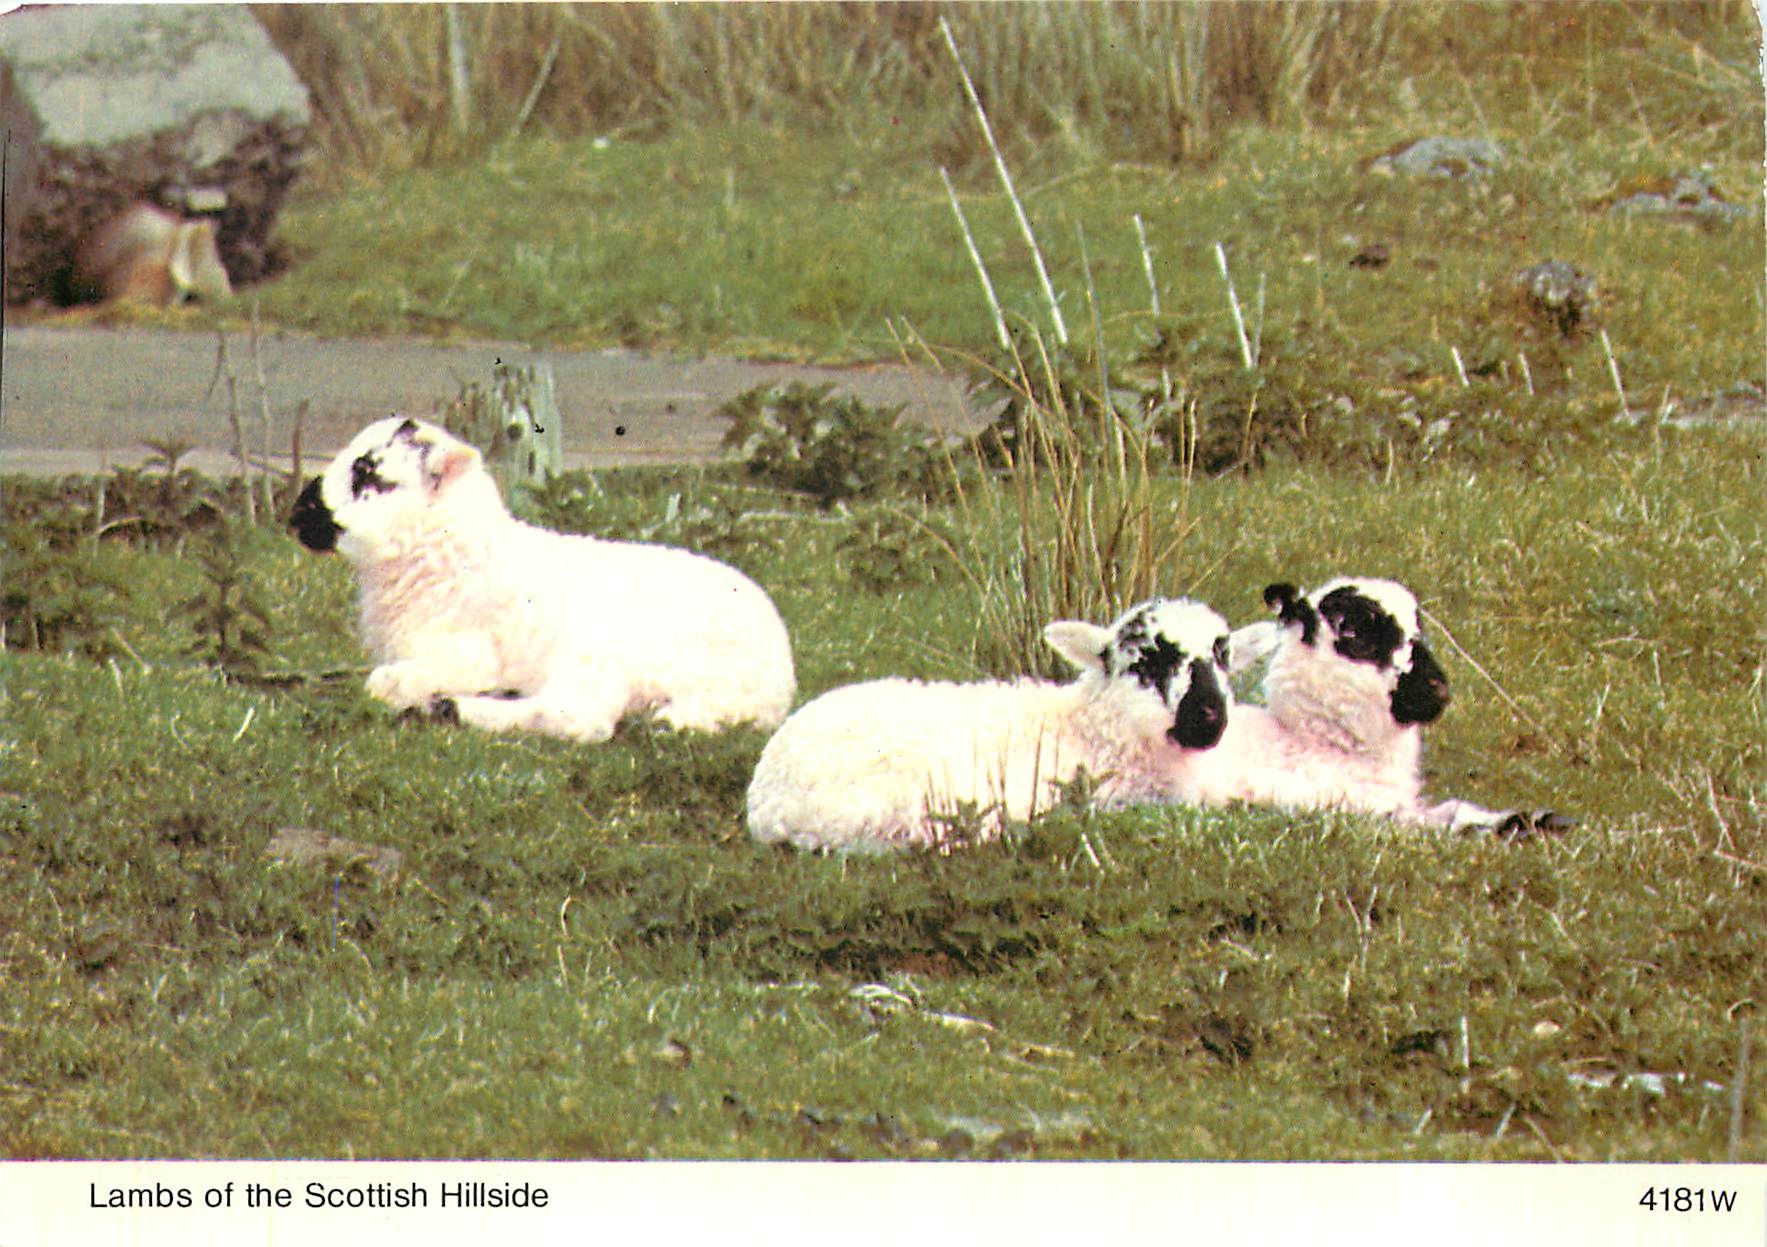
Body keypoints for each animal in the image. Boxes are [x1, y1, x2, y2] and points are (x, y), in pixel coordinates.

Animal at [289, 415, 796, 741]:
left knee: (582, 718)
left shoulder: (466, 655)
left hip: (596, 653)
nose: (297, 512)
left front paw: (403, 691)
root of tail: (773, 689)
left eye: (368, 473)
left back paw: (450, 708)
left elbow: (387, 680)